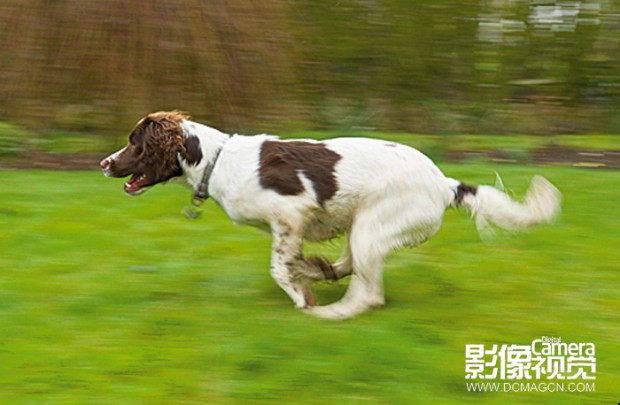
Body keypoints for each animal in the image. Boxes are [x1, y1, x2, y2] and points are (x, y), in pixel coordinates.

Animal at [101, 110, 560, 318]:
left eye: (135, 142)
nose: (105, 163)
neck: (217, 160)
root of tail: (445, 184)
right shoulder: (292, 226)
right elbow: (292, 260)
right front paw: (310, 273)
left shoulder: (291, 213)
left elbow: (278, 267)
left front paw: (302, 296)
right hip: (364, 226)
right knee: (353, 266)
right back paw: (325, 274)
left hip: (374, 225)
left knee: (368, 292)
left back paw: (330, 313)